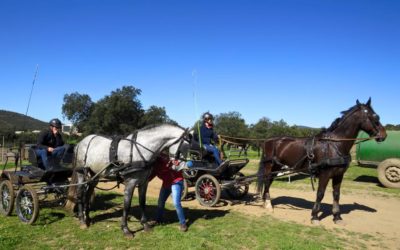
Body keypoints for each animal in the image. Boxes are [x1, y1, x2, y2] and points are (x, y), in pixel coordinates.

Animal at [258, 98, 386, 224]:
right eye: (374, 117)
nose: (384, 135)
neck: (335, 145)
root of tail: (268, 140)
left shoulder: (339, 175)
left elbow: (336, 194)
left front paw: (337, 216)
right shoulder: (325, 174)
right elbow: (320, 193)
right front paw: (315, 216)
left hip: (277, 167)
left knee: (269, 182)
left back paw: (266, 202)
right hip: (269, 166)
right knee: (267, 181)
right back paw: (268, 204)